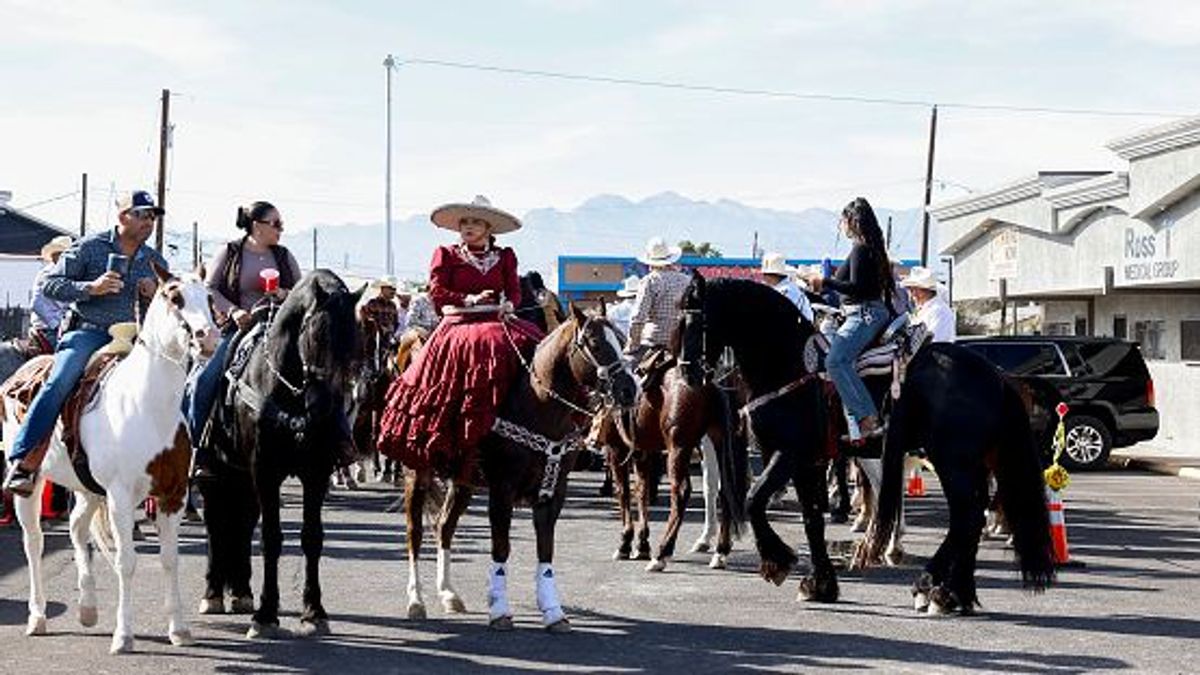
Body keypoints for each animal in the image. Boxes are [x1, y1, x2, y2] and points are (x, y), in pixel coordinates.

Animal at [5, 266, 218, 653]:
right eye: (175, 297)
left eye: (209, 298)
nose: (207, 338)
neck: (148, 407)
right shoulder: (120, 496)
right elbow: (126, 561)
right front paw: (124, 635)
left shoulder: (174, 495)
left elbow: (170, 560)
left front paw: (178, 629)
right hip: (32, 485)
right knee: (34, 542)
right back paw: (37, 617)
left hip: (87, 487)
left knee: (77, 527)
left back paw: (88, 609)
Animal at [200, 269, 364, 634]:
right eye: (316, 335)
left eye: (354, 341)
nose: (324, 411)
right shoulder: (265, 470)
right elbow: (272, 538)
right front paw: (265, 614)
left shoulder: (316, 473)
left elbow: (312, 537)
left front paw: (314, 611)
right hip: (216, 474)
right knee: (217, 526)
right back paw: (213, 593)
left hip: (242, 477)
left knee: (242, 523)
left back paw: (241, 591)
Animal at [400, 305, 638, 629]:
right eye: (594, 343)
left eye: (622, 340)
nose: (630, 389)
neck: (538, 406)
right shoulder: (502, 488)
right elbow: (501, 547)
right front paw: (500, 609)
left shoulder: (553, 491)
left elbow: (546, 549)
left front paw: (553, 611)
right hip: (417, 474)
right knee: (415, 532)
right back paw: (416, 600)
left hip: (463, 481)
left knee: (444, 528)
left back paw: (449, 594)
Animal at [681, 273, 1056, 610]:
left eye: (696, 321)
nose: (688, 373)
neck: (789, 363)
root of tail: (997, 376)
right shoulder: (809, 461)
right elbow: (811, 520)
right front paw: (820, 585)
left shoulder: (788, 453)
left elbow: (753, 500)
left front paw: (778, 562)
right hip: (971, 460)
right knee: (972, 517)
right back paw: (955, 594)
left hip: (953, 461)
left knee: (966, 516)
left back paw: (929, 587)